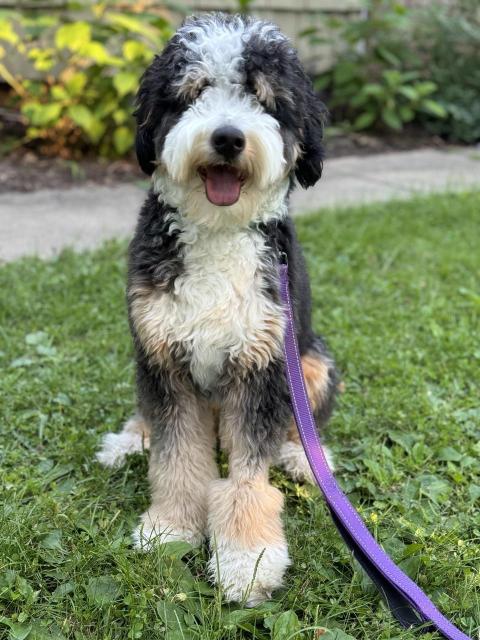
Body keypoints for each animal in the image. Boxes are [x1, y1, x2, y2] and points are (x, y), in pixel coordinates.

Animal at [97, 13, 338, 604]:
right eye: (194, 91)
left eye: (263, 98)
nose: (228, 137)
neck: (217, 230)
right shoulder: (161, 355)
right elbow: (177, 458)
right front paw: (170, 526)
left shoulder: (264, 363)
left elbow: (248, 478)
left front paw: (248, 559)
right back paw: (131, 437)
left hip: (312, 358)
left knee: (302, 423)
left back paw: (304, 458)